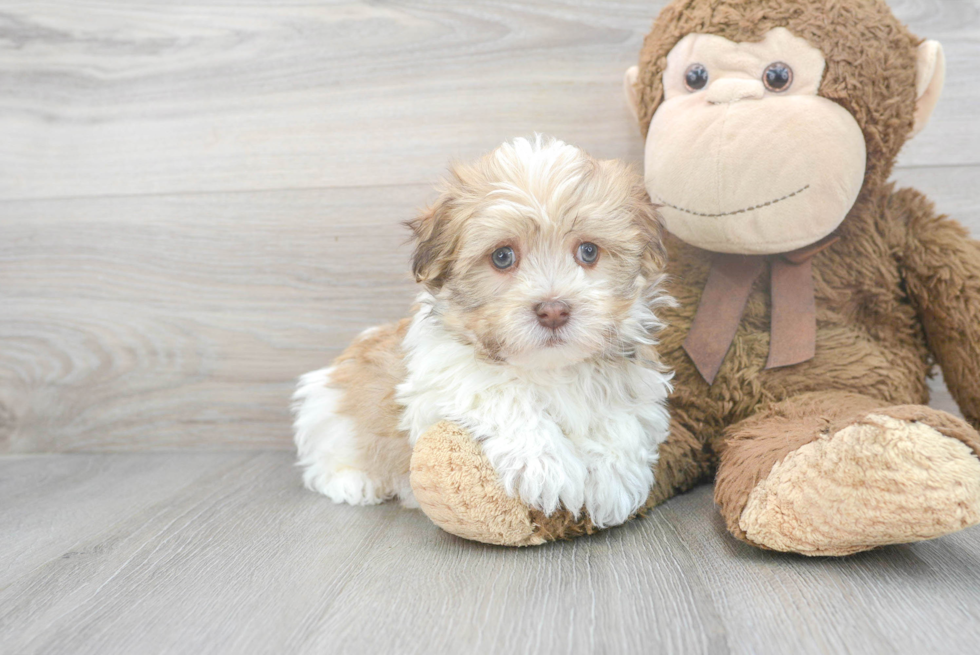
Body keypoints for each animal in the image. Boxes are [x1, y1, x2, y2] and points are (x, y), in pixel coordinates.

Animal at [290, 136, 672, 532]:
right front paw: (545, 464)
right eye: (502, 256)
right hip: (325, 409)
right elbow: (503, 393)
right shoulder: (440, 380)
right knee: (325, 458)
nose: (553, 310)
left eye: (589, 251)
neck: (549, 368)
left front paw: (613, 477)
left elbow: (624, 416)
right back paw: (354, 481)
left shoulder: (633, 378)